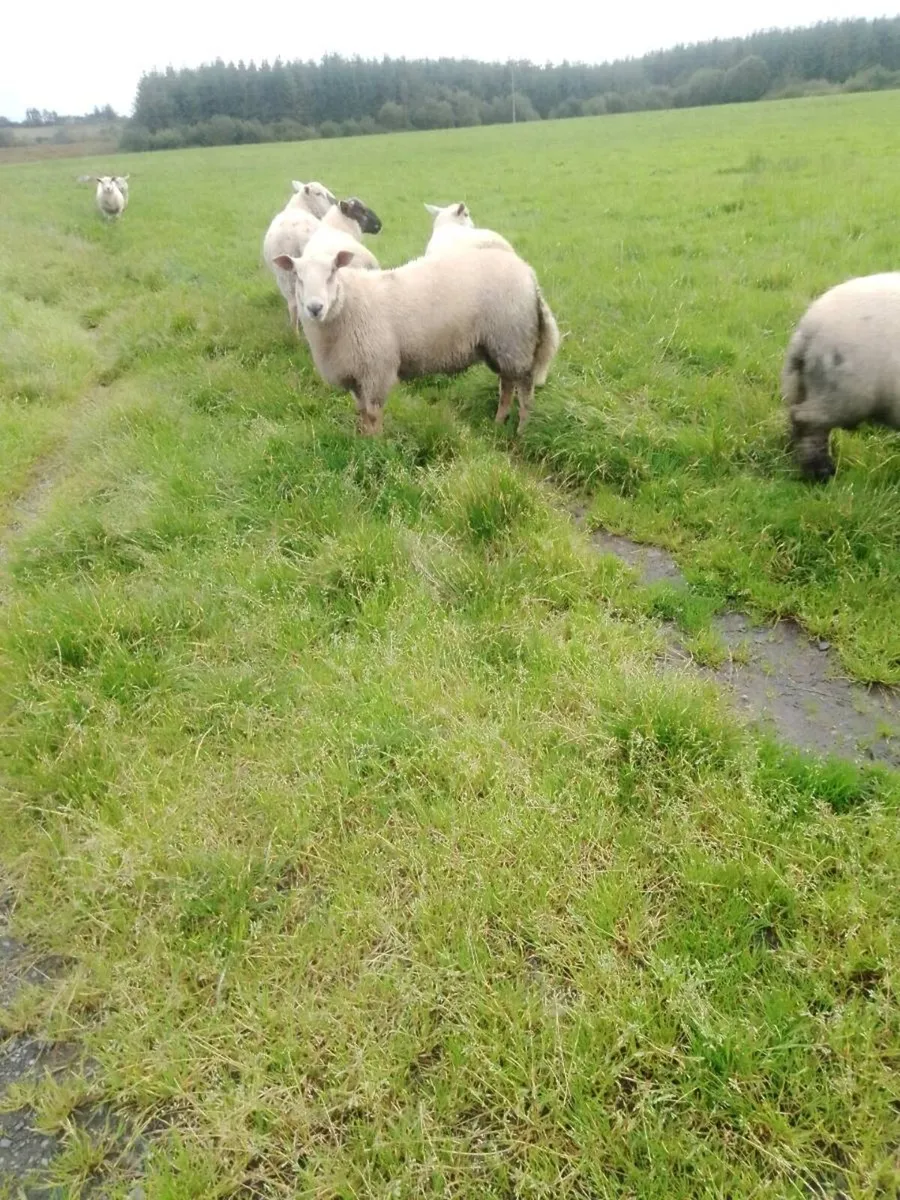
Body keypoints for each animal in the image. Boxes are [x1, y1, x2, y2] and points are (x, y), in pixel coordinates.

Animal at [272, 245, 560, 435]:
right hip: (498, 345)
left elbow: (373, 414)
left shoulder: (376, 369)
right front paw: (362, 439)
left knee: (524, 388)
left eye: (332, 271)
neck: (348, 305)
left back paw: (521, 430)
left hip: (515, 339)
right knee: (507, 384)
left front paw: (376, 445)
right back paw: (499, 421)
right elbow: (362, 412)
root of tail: (529, 274)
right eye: (297, 276)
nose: (315, 308)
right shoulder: (357, 373)